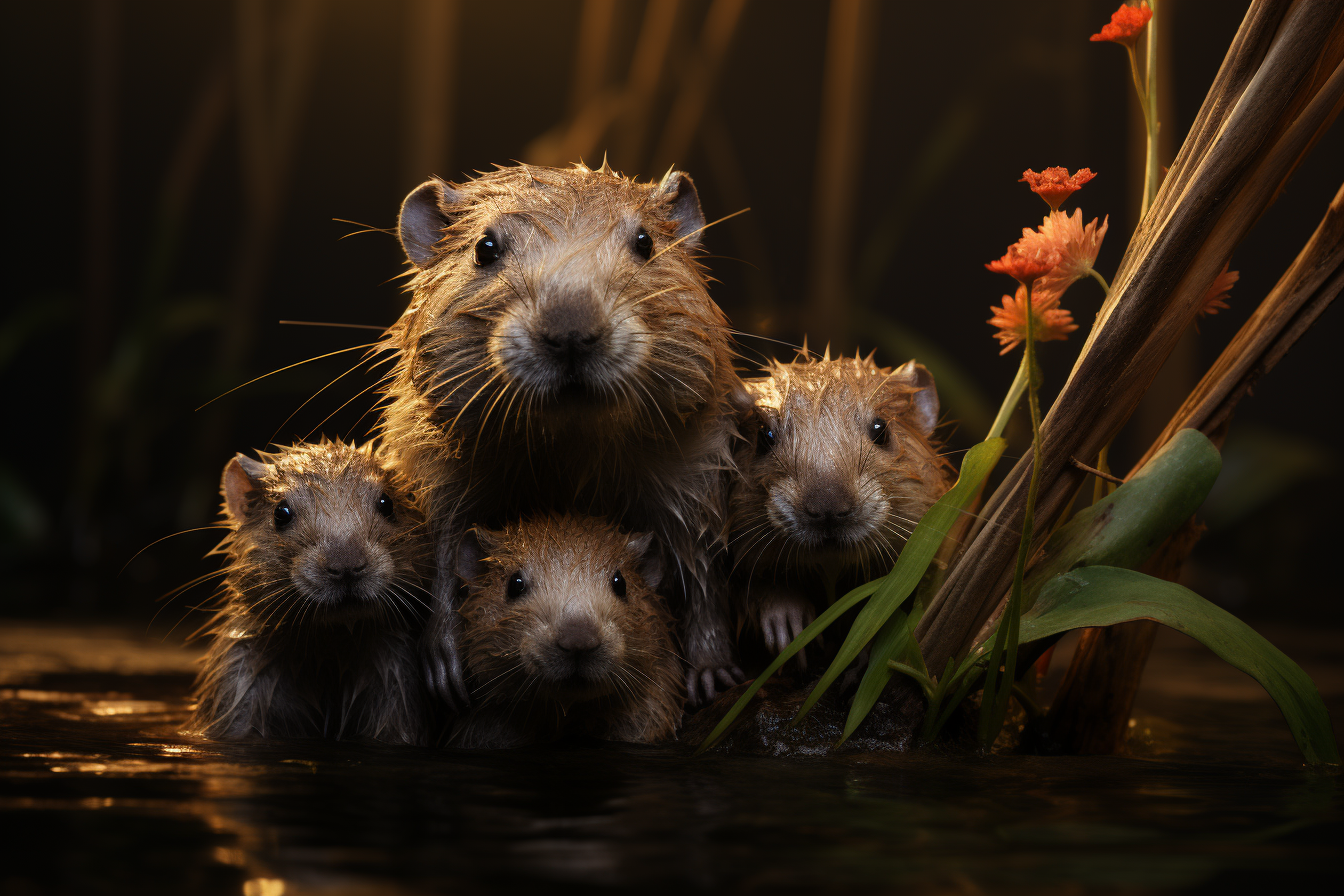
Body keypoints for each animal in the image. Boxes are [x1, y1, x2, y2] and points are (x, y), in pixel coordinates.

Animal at [189, 440, 427, 741]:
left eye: (387, 503)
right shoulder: (238, 679)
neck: (329, 651)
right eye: (281, 513)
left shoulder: (396, 678)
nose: (345, 564)